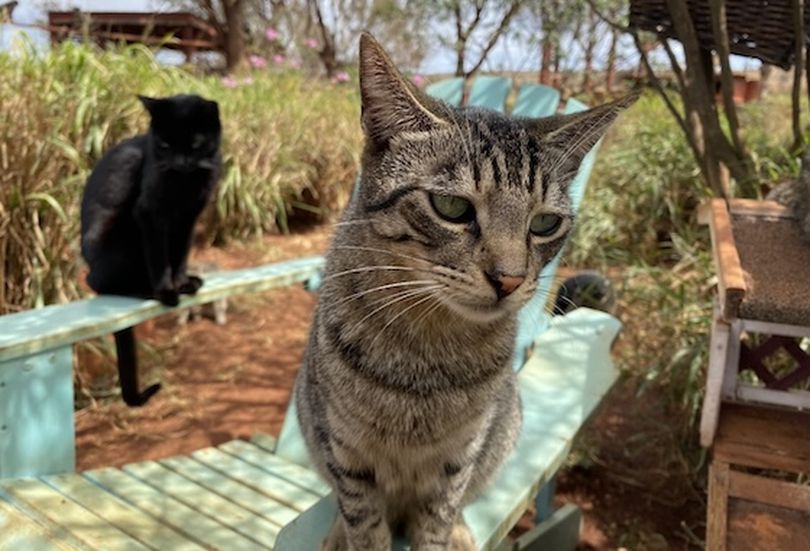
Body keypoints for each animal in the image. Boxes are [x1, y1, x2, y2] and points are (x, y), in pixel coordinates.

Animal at [79, 94, 221, 406]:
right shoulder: (151, 215)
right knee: (97, 283)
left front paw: (183, 283)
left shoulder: (188, 220)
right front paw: (167, 291)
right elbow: (160, 258)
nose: (179, 161)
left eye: (194, 142)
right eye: (164, 144)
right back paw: (143, 290)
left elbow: (179, 255)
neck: (185, 184)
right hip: (121, 238)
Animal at [294, 32, 636, 548]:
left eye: (545, 223)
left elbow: (439, 515)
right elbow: (362, 520)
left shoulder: (460, 455)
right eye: (452, 207)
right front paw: (354, 531)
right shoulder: (345, 451)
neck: (426, 351)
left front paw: (443, 531)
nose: (509, 278)